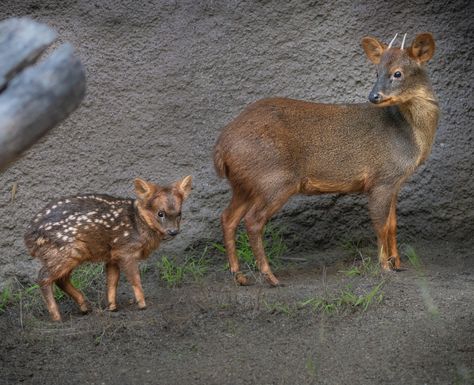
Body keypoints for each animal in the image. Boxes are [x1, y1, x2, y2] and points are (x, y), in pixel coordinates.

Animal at [214, 33, 436, 284]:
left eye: (397, 73)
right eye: (376, 72)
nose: (373, 96)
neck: (410, 137)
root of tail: (221, 147)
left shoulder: (395, 183)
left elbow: (393, 224)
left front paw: (398, 263)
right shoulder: (381, 179)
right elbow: (380, 225)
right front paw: (385, 267)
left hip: (244, 184)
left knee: (228, 218)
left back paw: (239, 275)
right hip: (275, 179)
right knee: (253, 221)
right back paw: (270, 276)